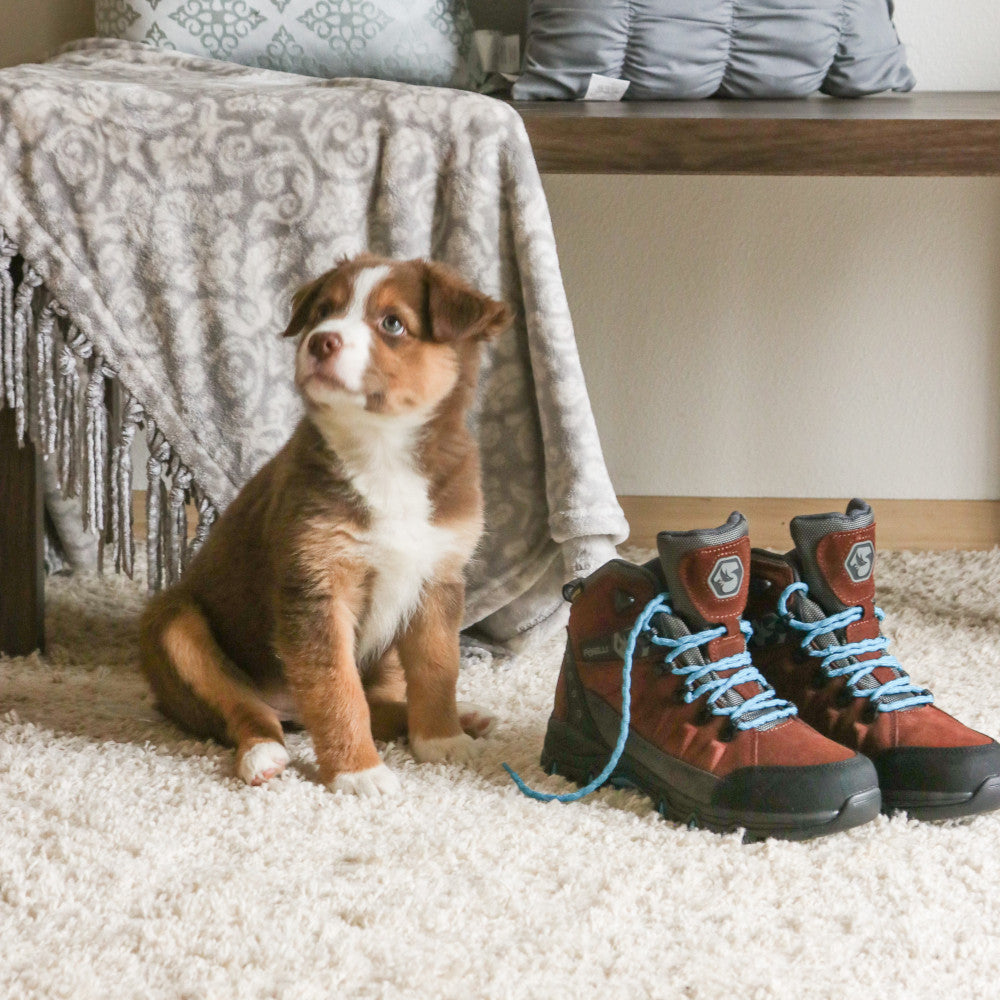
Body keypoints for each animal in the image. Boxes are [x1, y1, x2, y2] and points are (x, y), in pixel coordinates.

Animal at [138, 256, 512, 796]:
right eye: (322, 312)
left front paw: (442, 740)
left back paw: (469, 720)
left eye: (392, 323)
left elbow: (437, 668)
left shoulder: (438, 579)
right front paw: (359, 772)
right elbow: (336, 689)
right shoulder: (315, 585)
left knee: (379, 703)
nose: (320, 342)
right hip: (175, 627)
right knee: (245, 710)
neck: (382, 451)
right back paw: (262, 755)